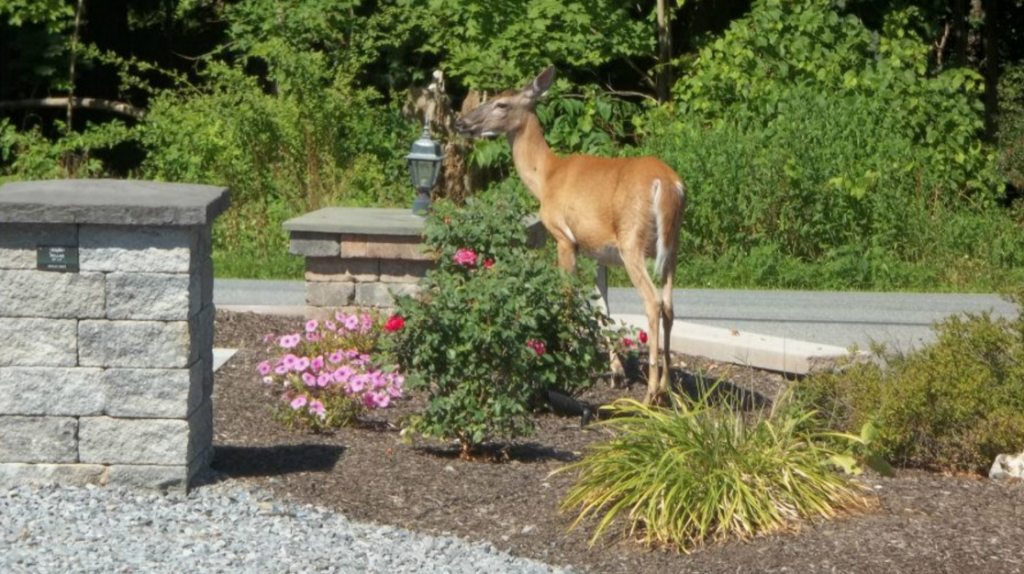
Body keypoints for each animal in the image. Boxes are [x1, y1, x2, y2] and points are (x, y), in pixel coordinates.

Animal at [454, 66, 687, 405]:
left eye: (502, 104)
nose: (460, 123)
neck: (545, 178)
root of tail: (668, 184)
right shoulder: (600, 251)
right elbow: (604, 308)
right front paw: (616, 372)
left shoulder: (564, 237)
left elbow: (566, 296)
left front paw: (562, 354)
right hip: (671, 247)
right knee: (669, 306)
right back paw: (669, 391)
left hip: (633, 240)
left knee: (653, 302)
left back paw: (650, 394)